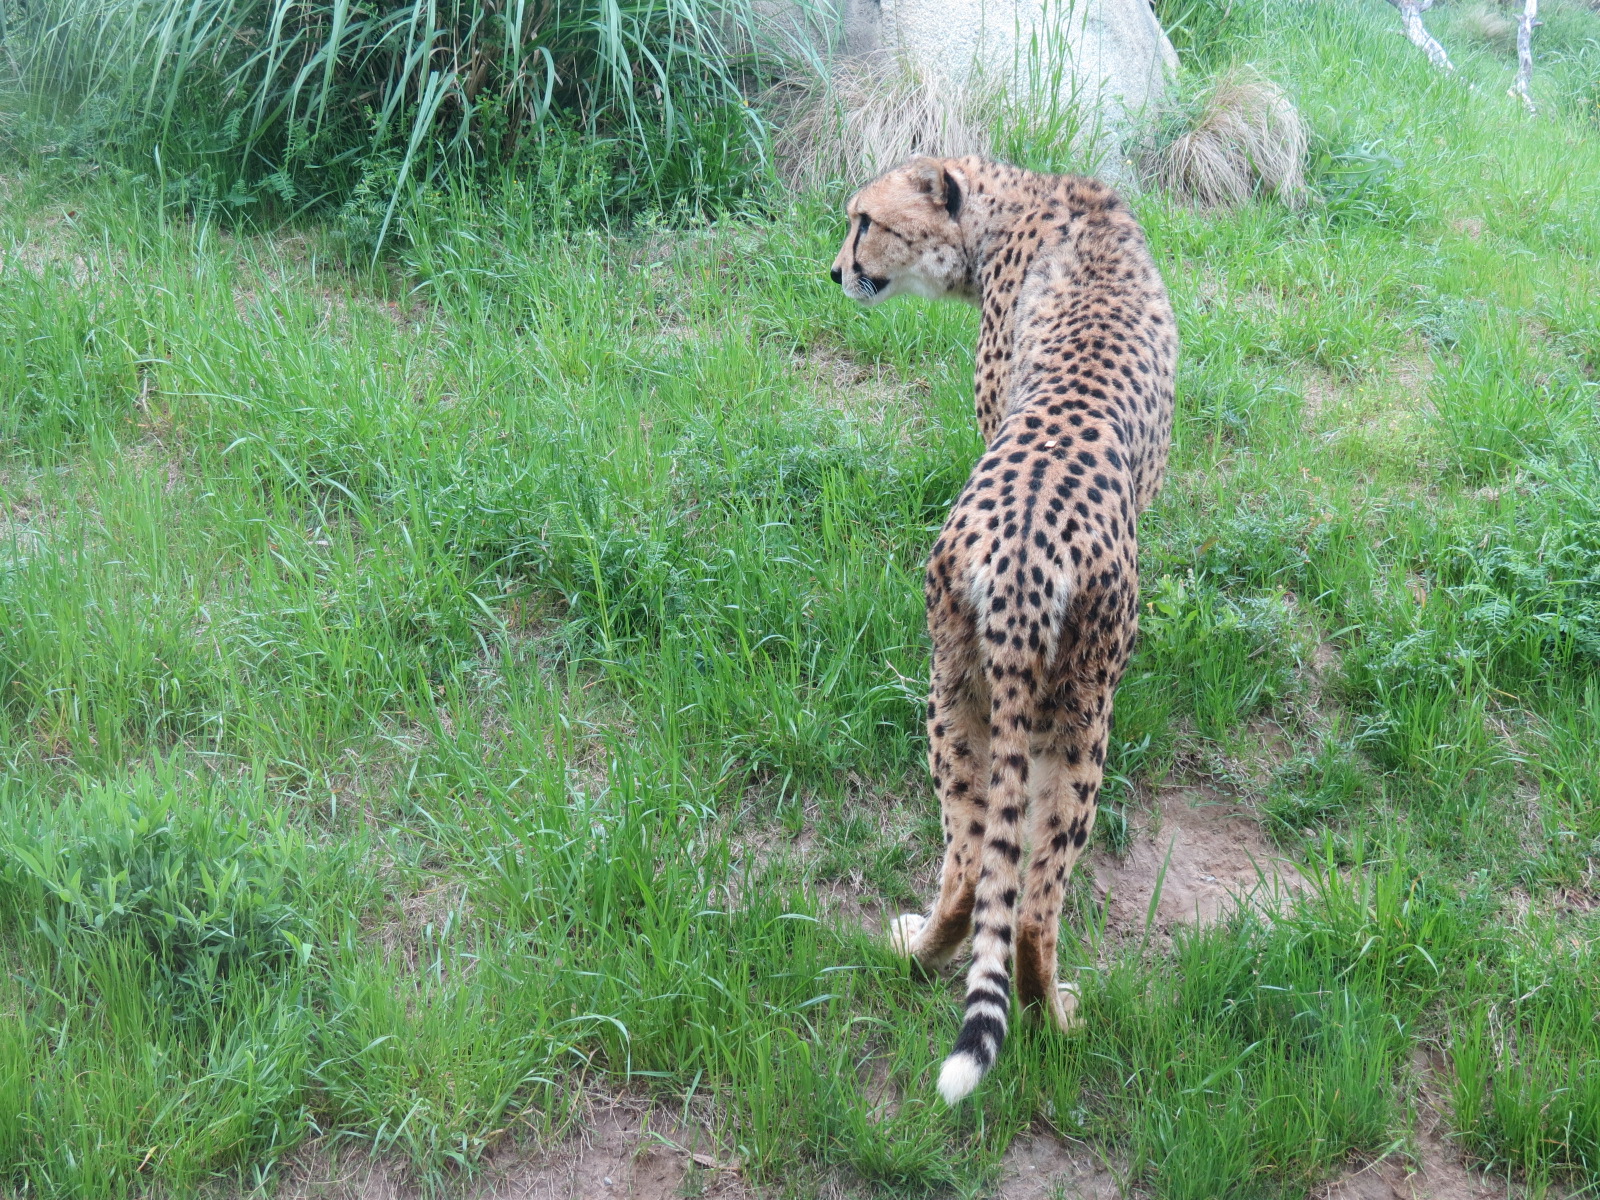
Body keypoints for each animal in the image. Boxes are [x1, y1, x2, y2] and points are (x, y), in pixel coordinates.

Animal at [830, 156, 1177, 1104]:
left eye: (864, 221)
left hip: (963, 696)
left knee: (982, 875)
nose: (834, 273)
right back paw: (1051, 1016)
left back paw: (927, 958)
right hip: (1068, 710)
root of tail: (1025, 556)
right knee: (1026, 900)